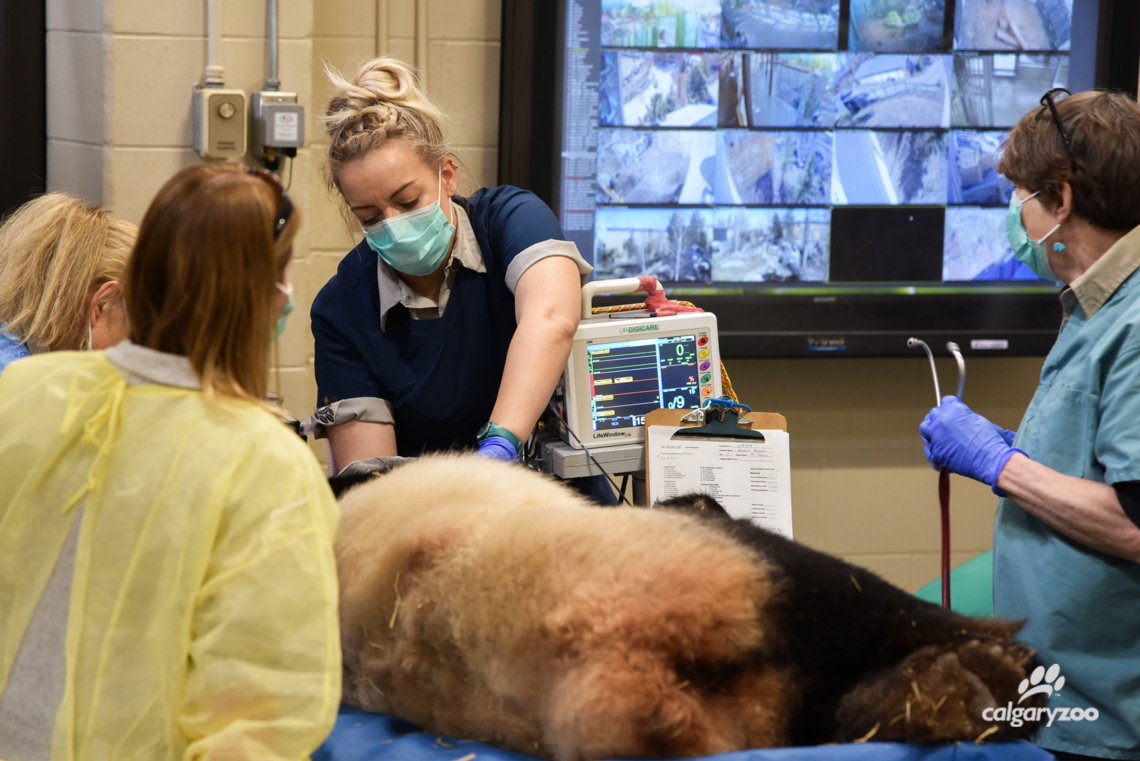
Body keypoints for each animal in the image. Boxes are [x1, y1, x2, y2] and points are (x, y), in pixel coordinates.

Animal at [332, 455, 1044, 756]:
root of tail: (615, 660)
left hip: (747, 714)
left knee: (820, 720)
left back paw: (942, 695)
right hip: (713, 567)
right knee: (861, 608)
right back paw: (1000, 664)